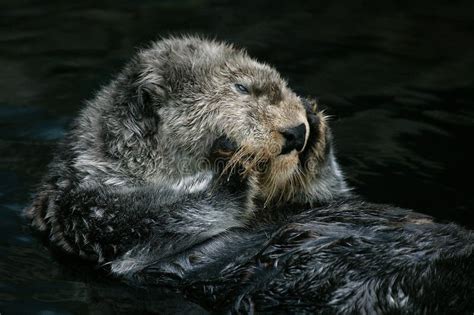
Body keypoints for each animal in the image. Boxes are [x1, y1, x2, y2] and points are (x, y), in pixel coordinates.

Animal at [26, 36, 474, 314]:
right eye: (241, 88)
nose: (296, 131)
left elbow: (323, 195)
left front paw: (316, 125)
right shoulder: (90, 210)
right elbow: (159, 224)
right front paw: (232, 168)